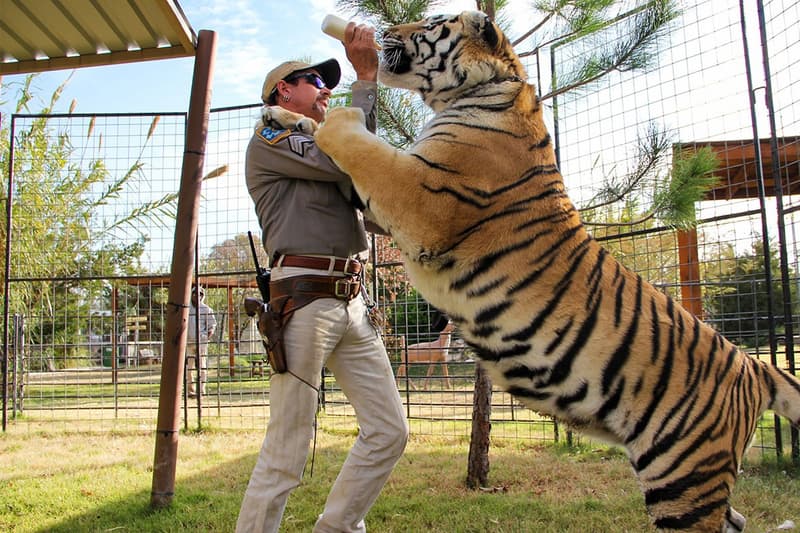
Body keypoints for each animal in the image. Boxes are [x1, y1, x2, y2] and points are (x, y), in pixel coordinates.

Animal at [318, 9, 800, 532]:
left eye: (429, 23)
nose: (381, 31)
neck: (480, 90)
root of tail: (755, 367)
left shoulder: (421, 197)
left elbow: (360, 146)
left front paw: (325, 115)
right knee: (737, 519)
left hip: (683, 475)